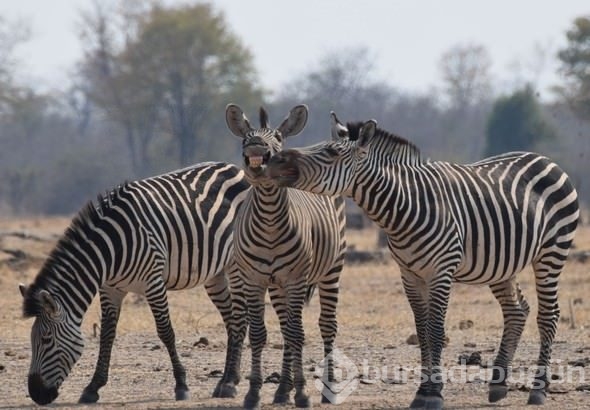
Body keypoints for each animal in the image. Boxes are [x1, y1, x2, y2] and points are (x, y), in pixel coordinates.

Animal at [19, 162, 251, 406]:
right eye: (32, 339)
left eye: (46, 340)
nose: (36, 394)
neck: (110, 251)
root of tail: (234, 167)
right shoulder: (110, 289)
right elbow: (106, 335)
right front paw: (93, 387)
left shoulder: (153, 283)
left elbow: (165, 332)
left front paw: (181, 385)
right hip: (215, 273)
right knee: (232, 320)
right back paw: (227, 379)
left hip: (235, 264)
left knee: (238, 318)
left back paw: (229, 383)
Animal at [225, 104, 346, 408]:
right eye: (246, 137)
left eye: (277, 137)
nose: (256, 145)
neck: (269, 220)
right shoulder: (253, 280)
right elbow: (260, 335)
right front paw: (254, 392)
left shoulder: (296, 279)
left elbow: (297, 334)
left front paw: (302, 393)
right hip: (277, 285)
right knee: (284, 327)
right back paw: (282, 390)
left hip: (331, 270)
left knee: (326, 325)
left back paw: (328, 388)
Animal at [270, 113, 584, 410]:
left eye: (332, 152)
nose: (275, 160)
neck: (405, 207)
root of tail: (544, 159)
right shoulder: (409, 274)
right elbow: (421, 331)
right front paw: (422, 392)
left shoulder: (440, 272)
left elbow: (435, 331)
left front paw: (434, 395)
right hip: (501, 265)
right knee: (517, 311)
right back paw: (498, 385)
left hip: (552, 252)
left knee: (549, 315)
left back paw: (538, 390)